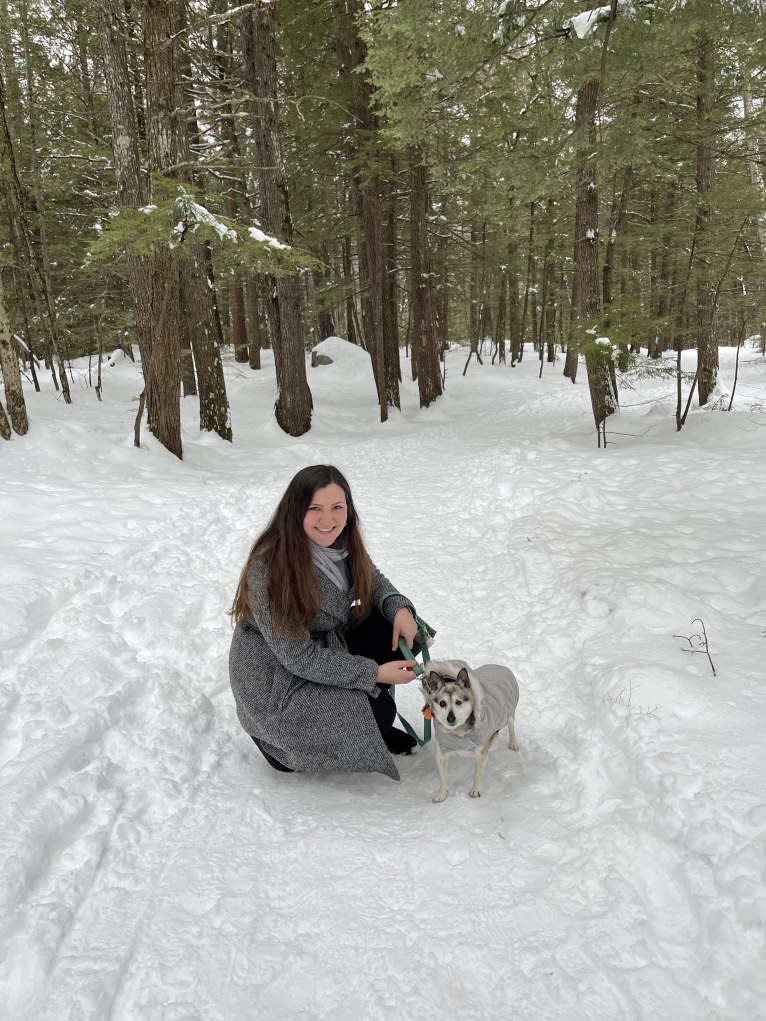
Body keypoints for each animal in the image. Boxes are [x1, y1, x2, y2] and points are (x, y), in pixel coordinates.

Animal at [420, 661, 522, 804]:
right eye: (442, 703)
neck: (459, 731)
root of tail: (499, 666)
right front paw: (442, 794)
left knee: (511, 724)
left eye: (458, 702)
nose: (450, 718)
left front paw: (475, 790)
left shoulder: (481, 754)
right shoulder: (441, 754)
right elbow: (443, 777)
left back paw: (513, 743)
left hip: (509, 710)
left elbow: (477, 774)